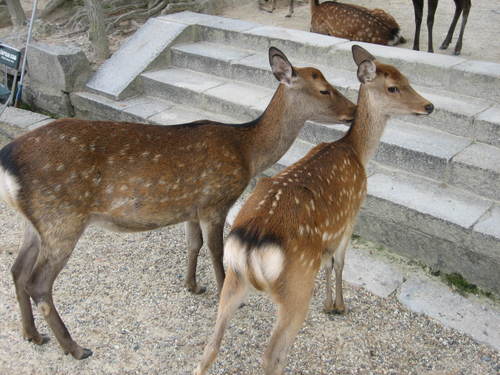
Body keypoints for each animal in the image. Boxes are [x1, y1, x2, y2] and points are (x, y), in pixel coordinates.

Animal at [0, 47, 356, 362]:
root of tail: (7, 161)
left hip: (36, 223)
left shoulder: (192, 208)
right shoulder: (216, 200)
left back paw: (32, 334)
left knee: (17, 270)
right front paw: (224, 293)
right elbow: (216, 250)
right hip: (62, 218)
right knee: (38, 282)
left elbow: (193, 244)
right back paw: (75, 348)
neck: (247, 151)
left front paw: (192, 286)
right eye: (324, 89)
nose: (353, 111)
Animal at [195, 44, 434, 375]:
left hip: (234, 278)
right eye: (393, 87)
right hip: (295, 287)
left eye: (407, 78)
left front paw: (328, 304)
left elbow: (328, 262)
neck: (357, 151)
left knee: (209, 348)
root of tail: (251, 246)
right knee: (272, 356)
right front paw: (339, 306)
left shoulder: (329, 233)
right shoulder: (351, 215)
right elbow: (339, 262)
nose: (429, 106)